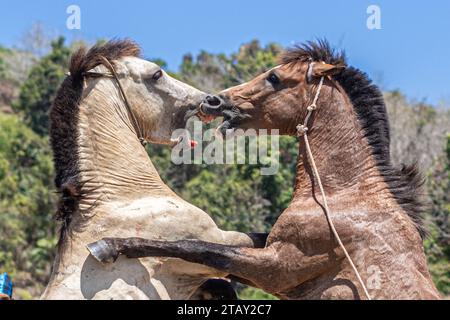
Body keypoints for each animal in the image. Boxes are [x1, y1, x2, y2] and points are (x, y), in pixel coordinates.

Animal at [87, 40, 440, 300]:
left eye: (275, 78)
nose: (216, 101)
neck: (342, 197)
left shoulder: (277, 267)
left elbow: (198, 248)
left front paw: (110, 245)